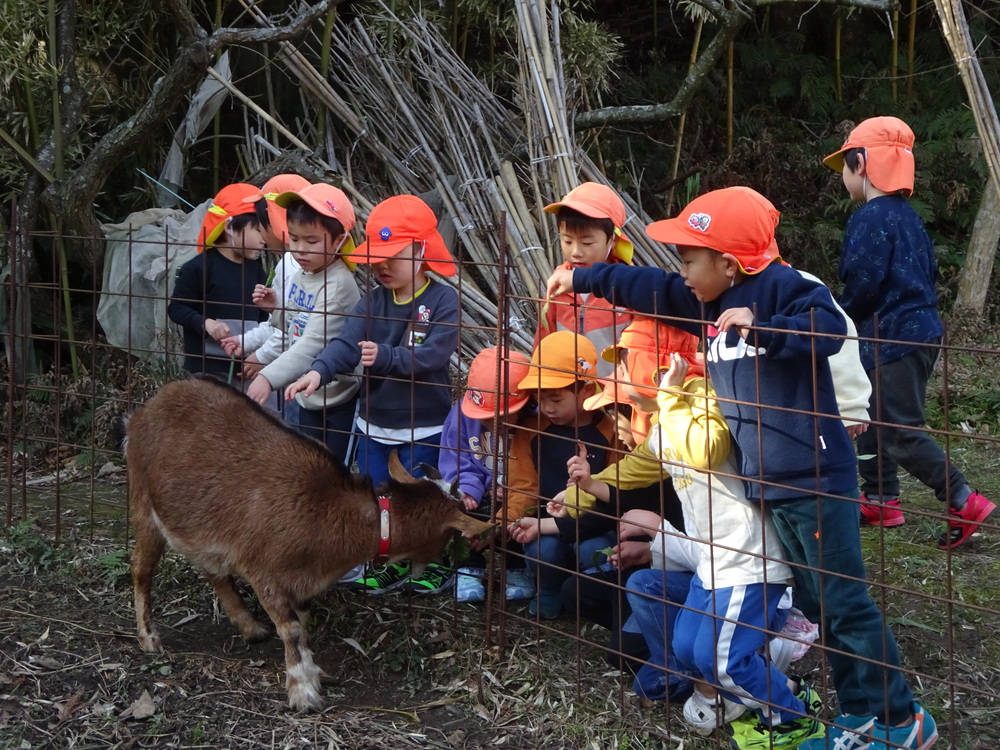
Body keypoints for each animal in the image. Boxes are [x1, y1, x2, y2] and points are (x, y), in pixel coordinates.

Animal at [127, 378, 494, 712]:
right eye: (447, 535)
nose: (425, 568)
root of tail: (146, 407)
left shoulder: (302, 581)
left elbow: (302, 626)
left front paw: (313, 673)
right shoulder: (265, 574)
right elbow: (290, 629)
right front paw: (302, 692)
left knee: (213, 571)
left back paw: (250, 626)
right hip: (144, 503)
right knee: (142, 568)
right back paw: (149, 638)